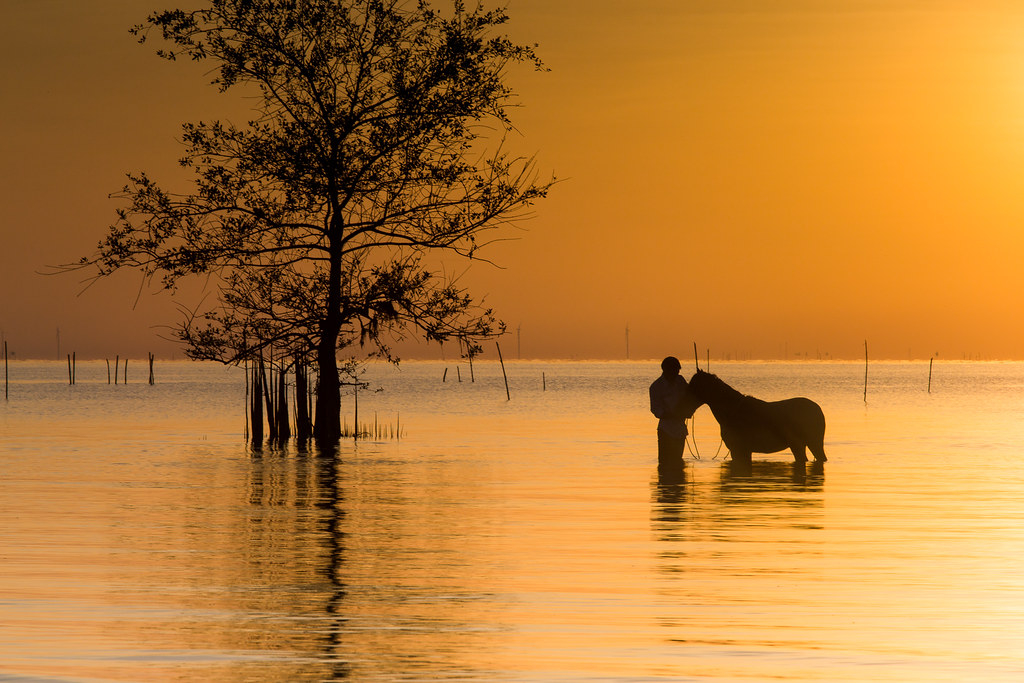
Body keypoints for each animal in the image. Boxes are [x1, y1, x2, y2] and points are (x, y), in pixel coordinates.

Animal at [684, 370, 827, 466]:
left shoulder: (740, 450)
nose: (684, 406)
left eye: (694, 385)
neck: (732, 411)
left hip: (807, 443)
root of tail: (817, 408)